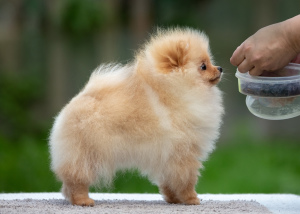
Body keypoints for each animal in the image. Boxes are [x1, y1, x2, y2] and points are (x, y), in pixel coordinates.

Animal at [48, 27, 223, 206]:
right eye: (203, 66)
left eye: (210, 62)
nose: (220, 68)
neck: (173, 92)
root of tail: (78, 99)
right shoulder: (183, 154)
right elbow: (186, 180)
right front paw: (191, 198)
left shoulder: (168, 158)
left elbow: (168, 181)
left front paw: (173, 199)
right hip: (85, 154)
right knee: (76, 179)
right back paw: (83, 200)